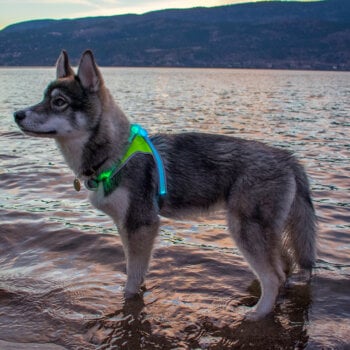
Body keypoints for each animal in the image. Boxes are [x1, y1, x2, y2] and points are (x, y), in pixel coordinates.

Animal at [13, 49, 316, 320]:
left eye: (59, 102)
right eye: (44, 97)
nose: (17, 114)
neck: (115, 153)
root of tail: (289, 159)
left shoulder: (142, 224)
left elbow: (132, 280)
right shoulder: (127, 228)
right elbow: (134, 271)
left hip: (244, 231)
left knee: (274, 276)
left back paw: (256, 314)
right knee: (284, 268)